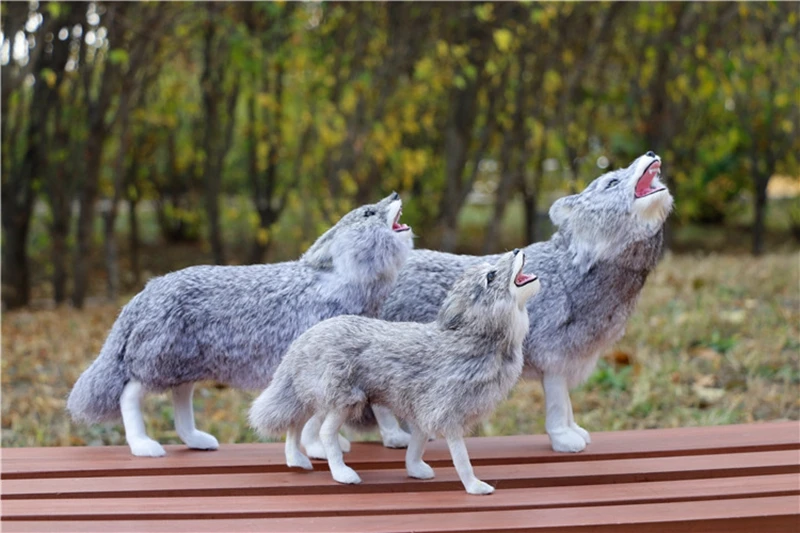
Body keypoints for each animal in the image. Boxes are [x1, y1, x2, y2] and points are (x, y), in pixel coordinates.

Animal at [67, 193, 414, 457]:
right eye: (368, 212)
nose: (396, 194)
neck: (339, 280)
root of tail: (143, 296)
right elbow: (312, 421)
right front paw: (317, 450)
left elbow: (315, 417)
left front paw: (332, 445)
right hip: (159, 362)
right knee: (129, 394)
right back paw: (143, 446)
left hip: (183, 367)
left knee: (180, 403)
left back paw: (197, 440)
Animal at [249, 249, 541, 495]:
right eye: (490, 276)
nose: (517, 249)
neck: (475, 336)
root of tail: (302, 341)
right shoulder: (445, 413)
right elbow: (461, 459)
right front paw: (475, 487)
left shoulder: (423, 412)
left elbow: (416, 446)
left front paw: (415, 471)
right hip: (344, 400)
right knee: (323, 433)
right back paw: (342, 474)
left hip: (319, 398)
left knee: (295, 424)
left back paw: (296, 460)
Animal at [380, 152, 673, 453]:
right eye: (612, 182)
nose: (650, 154)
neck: (569, 272)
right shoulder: (553, 359)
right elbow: (558, 406)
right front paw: (563, 439)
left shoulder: (567, 361)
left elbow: (568, 406)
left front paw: (574, 431)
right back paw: (395, 438)